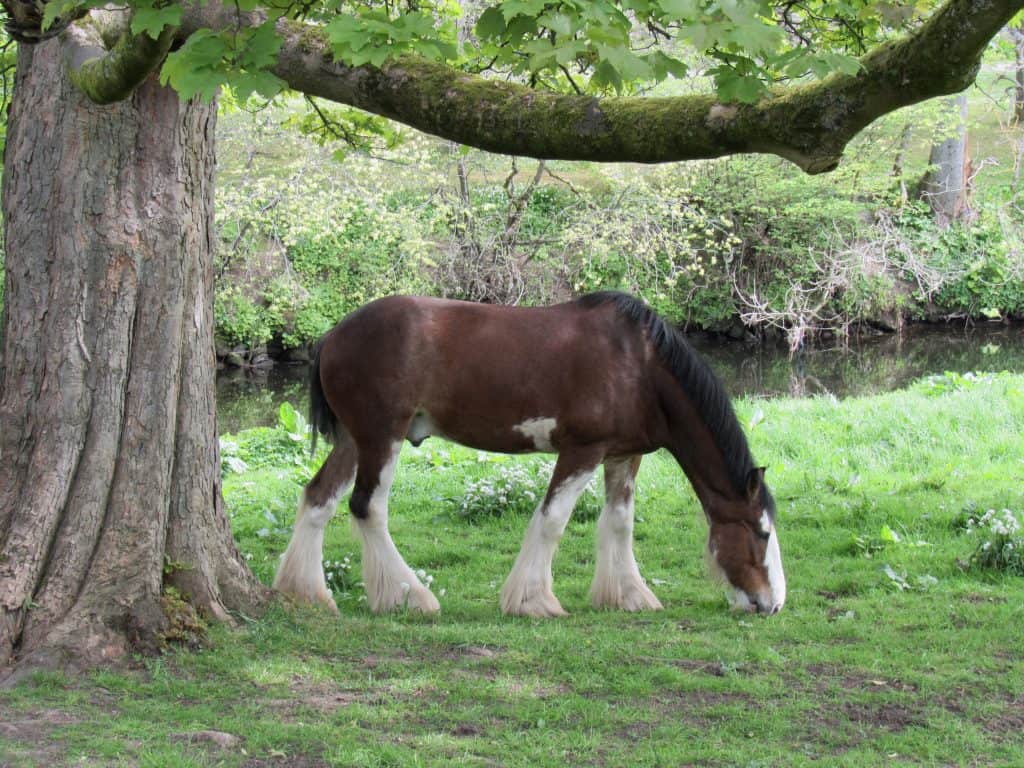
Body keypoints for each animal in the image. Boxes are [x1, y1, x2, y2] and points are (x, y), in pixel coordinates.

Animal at [270, 292, 782, 618]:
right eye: (760, 532)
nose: (771, 603)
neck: (639, 365)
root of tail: (333, 335)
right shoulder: (582, 450)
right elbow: (552, 520)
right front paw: (533, 601)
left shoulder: (622, 455)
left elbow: (619, 523)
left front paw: (628, 595)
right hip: (382, 437)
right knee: (367, 507)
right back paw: (409, 597)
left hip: (354, 439)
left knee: (318, 499)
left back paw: (306, 593)